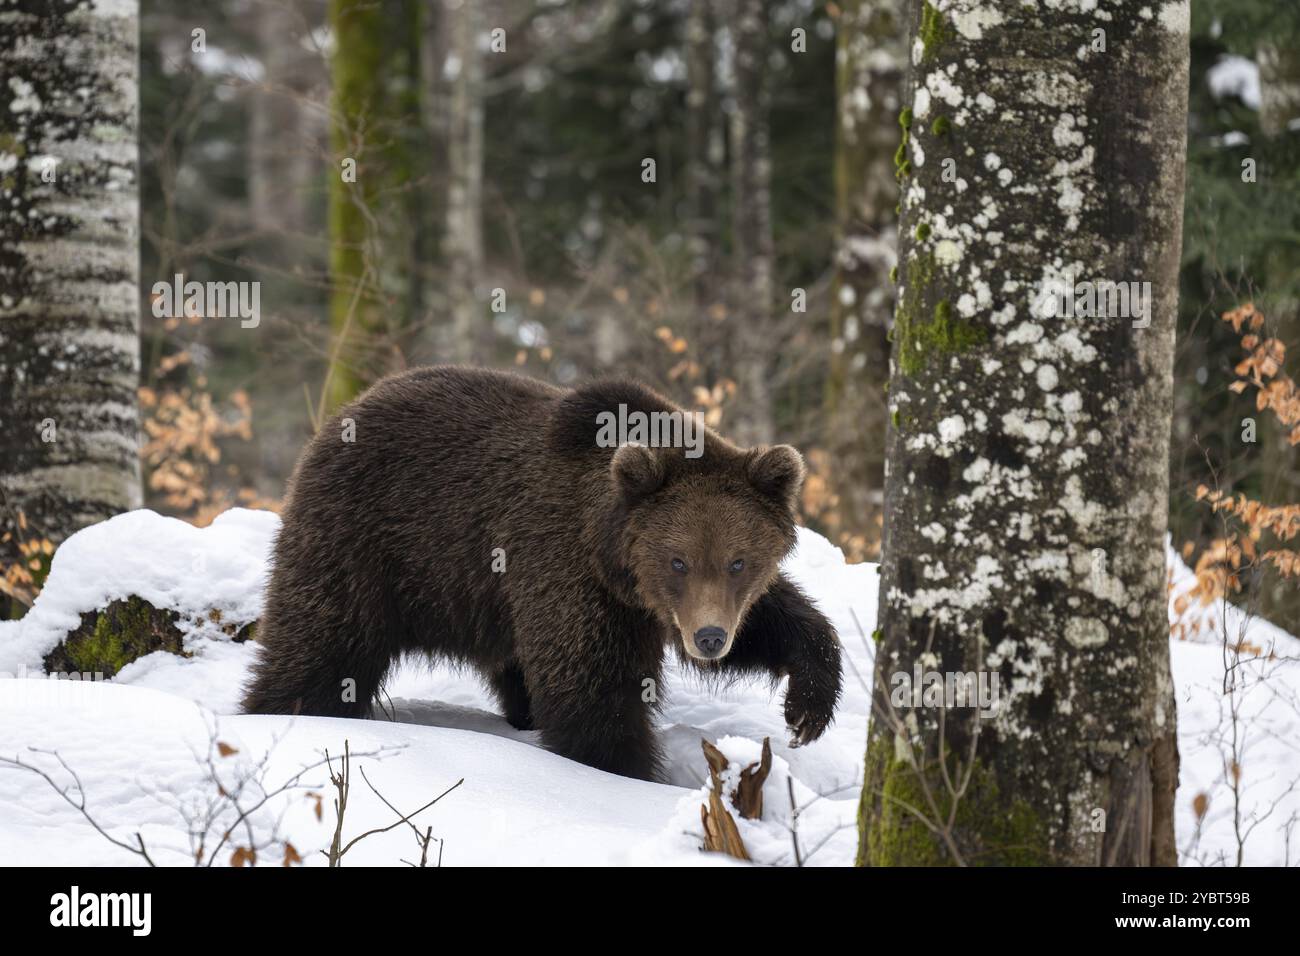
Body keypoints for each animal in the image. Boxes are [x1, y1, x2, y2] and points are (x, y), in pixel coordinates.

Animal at [241, 365, 842, 780]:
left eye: (739, 560)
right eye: (678, 560)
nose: (710, 638)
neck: (613, 560)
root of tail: (351, 407)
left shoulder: (659, 603)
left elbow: (775, 620)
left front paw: (807, 708)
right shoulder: (566, 570)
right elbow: (592, 693)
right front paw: (627, 772)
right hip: (365, 542)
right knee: (322, 644)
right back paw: (285, 711)